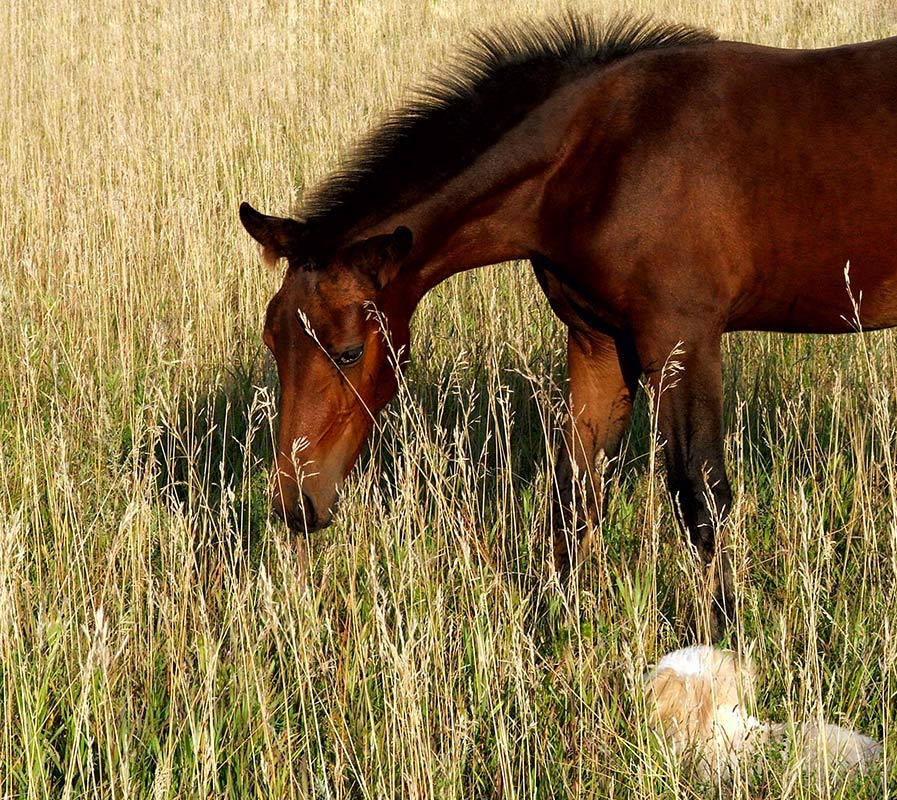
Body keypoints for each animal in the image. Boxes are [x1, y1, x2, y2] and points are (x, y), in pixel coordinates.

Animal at [242, 15, 896, 640]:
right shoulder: (599, 342)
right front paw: (554, 631)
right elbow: (574, 489)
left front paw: (725, 642)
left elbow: (700, 495)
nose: (296, 503)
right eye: (273, 340)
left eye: (349, 352)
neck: (600, 157)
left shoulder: (682, 337)